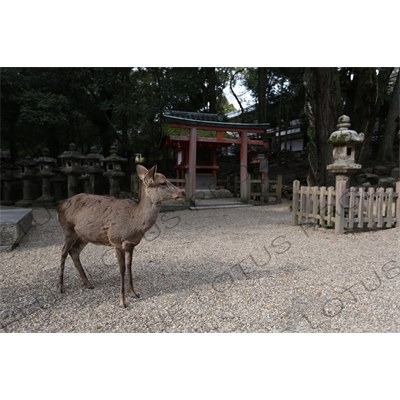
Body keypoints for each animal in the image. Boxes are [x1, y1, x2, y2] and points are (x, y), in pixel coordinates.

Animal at [56, 164, 184, 308]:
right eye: (162, 183)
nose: (182, 192)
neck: (133, 222)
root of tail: (58, 206)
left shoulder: (131, 244)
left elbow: (129, 266)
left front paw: (134, 293)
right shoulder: (116, 240)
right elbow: (122, 269)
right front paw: (122, 301)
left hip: (83, 236)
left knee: (74, 251)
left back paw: (88, 284)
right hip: (68, 229)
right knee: (63, 252)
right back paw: (61, 287)